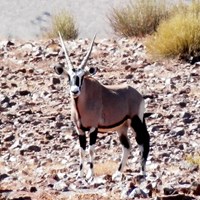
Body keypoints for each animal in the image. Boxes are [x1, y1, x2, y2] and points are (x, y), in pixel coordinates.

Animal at [54, 32, 150, 180]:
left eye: (82, 76)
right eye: (68, 76)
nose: (74, 91)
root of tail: (138, 95)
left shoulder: (94, 128)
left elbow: (91, 150)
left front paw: (90, 175)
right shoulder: (79, 129)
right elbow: (81, 151)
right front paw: (79, 175)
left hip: (136, 122)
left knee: (142, 141)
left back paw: (142, 172)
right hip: (122, 127)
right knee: (127, 146)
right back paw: (117, 173)